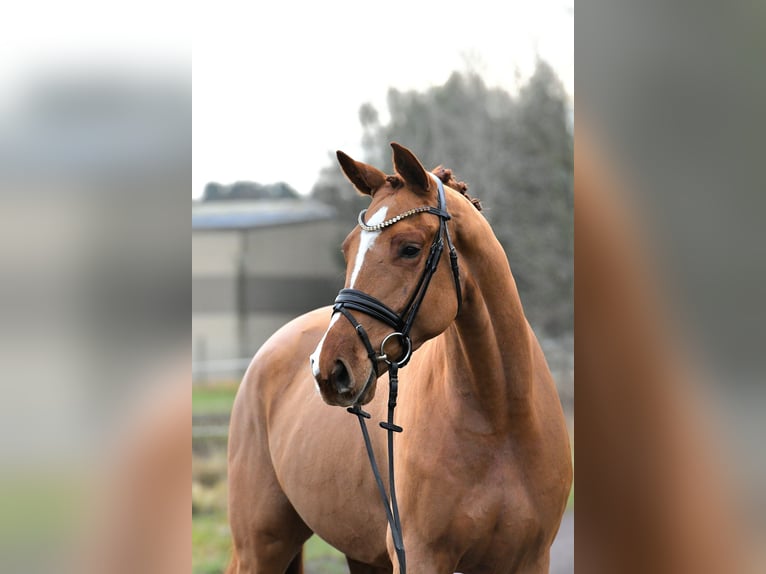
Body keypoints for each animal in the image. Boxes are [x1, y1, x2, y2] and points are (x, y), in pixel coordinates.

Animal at [226, 143, 572, 573]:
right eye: (347, 250)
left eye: (409, 249)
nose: (329, 369)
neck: (500, 420)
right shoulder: (421, 557)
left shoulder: (528, 559)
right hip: (260, 546)